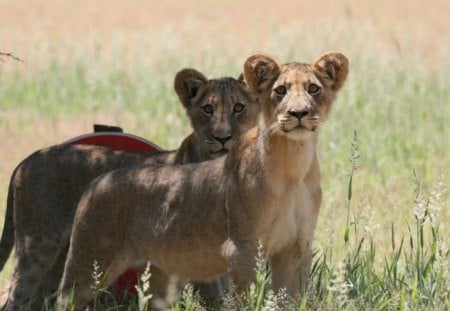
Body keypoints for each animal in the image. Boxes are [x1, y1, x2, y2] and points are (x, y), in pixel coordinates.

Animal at [0, 67, 260, 310]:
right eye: (208, 109)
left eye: (239, 108)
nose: (223, 138)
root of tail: (27, 159)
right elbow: (216, 296)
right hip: (37, 246)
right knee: (17, 299)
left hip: (65, 255)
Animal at [58, 51, 350, 310]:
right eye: (280, 91)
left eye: (313, 89)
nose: (298, 113)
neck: (293, 167)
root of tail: (98, 180)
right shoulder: (242, 250)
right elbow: (244, 301)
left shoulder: (294, 249)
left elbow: (291, 300)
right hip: (89, 264)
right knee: (63, 299)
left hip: (159, 276)